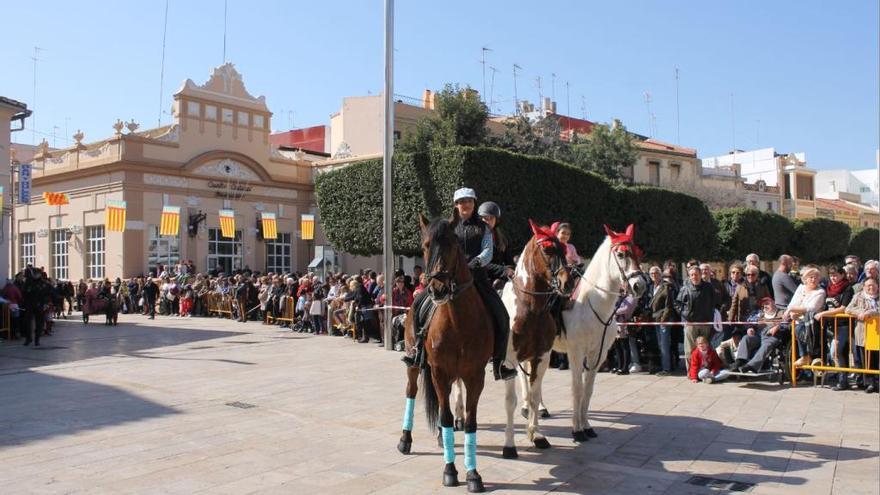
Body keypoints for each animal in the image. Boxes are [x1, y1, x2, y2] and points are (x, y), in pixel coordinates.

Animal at [398, 212, 496, 492]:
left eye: (453, 245)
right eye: (425, 246)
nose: (437, 288)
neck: (458, 320)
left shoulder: (474, 375)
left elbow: (468, 421)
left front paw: (473, 474)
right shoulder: (440, 372)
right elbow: (444, 414)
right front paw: (450, 471)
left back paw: (443, 438)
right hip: (415, 364)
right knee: (412, 392)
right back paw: (405, 439)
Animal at [498, 221, 576, 458]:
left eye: (564, 249)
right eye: (548, 250)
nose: (567, 283)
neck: (529, 307)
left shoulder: (540, 357)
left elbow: (534, 395)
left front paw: (537, 435)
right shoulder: (508, 362)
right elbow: (510, 402)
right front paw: (509, 445)